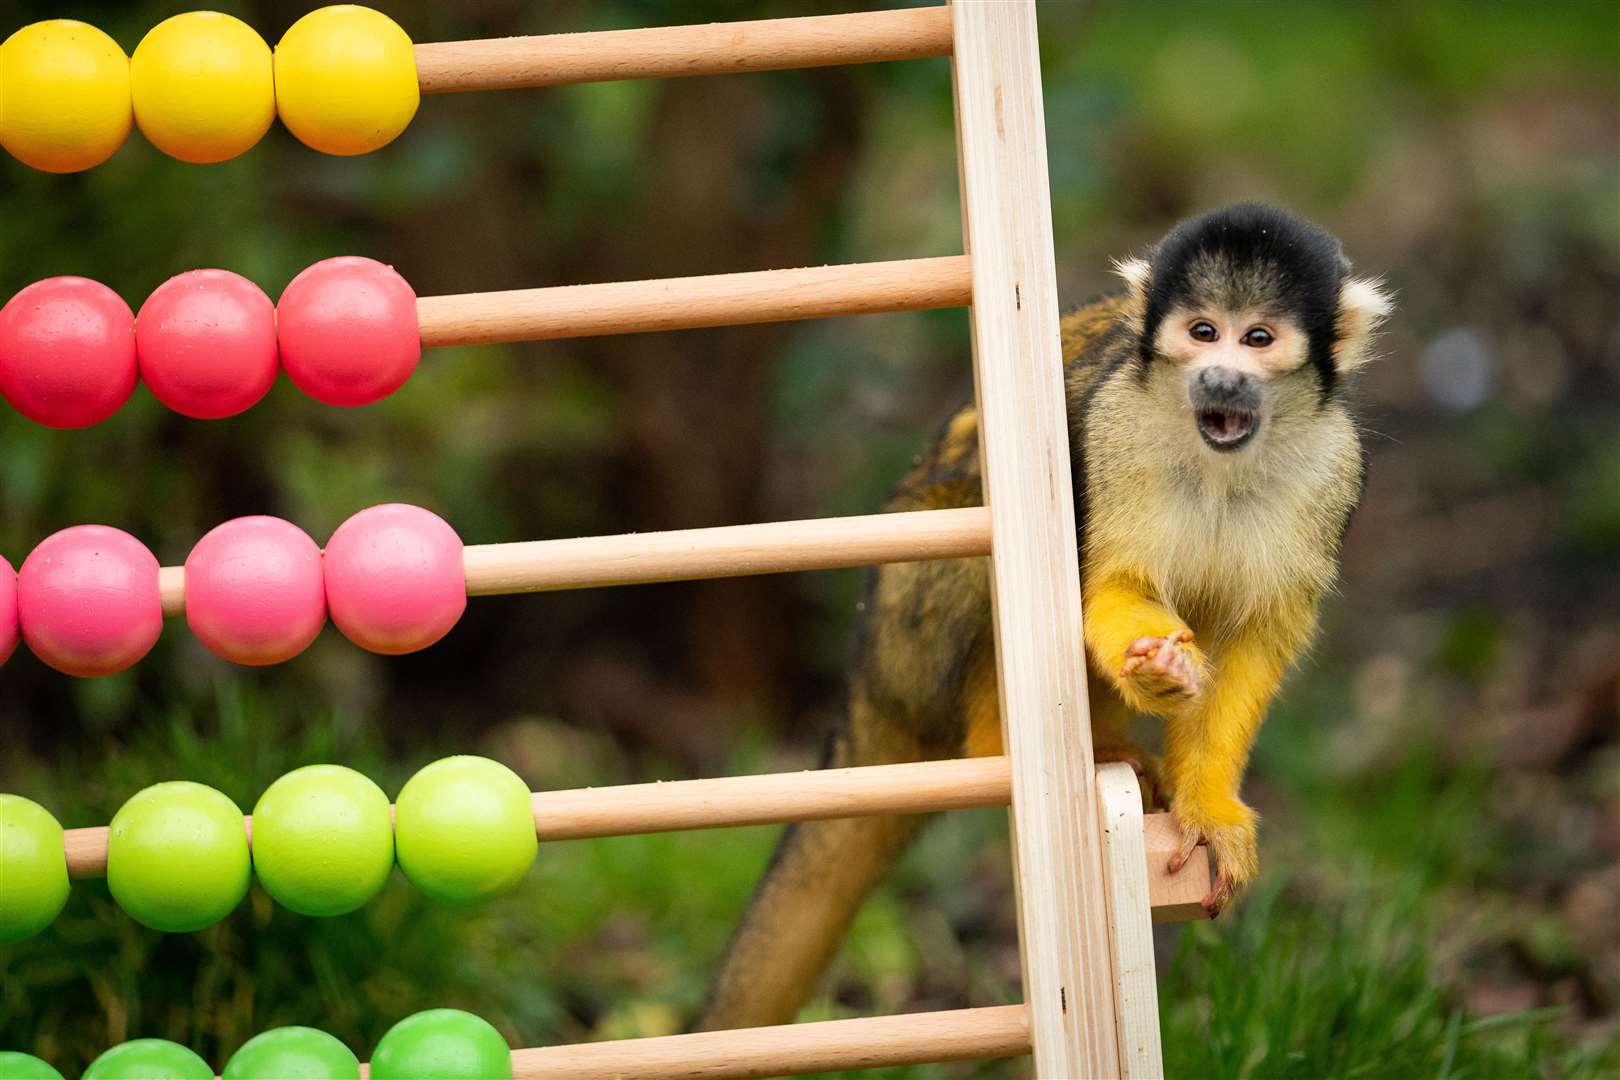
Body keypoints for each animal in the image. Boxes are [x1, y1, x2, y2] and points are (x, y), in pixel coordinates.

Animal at [696, 204, 1393, 1036]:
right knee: (981, 530)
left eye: (1257, 338)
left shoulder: (1333, 468)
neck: (1220, 460)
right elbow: (1109, 586)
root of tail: (865, 681)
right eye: (1202, 332)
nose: (1219, 377)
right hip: (907, 628)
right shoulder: (1117, 432)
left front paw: (1210, 806)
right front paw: (1157, 666)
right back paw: (1010, 737)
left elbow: (1258, 639)